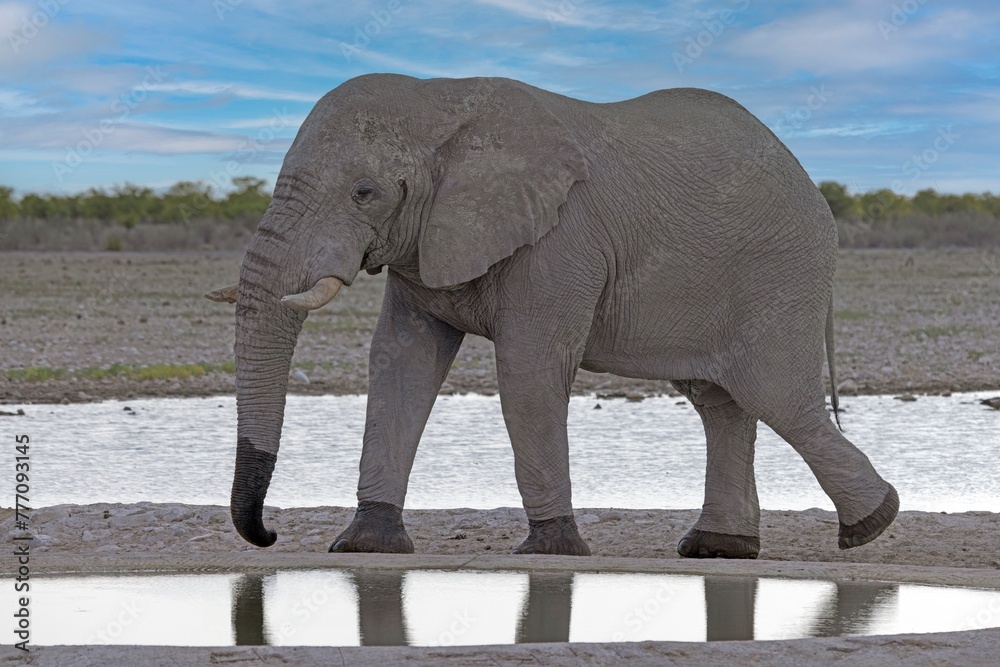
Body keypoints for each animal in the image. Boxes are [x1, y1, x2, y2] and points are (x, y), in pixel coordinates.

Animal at [207, 73, 898, 558]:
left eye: (364, 193)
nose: (268, 536)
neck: (442, 99)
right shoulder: (425, 242)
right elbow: (401, 363)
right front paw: (364, 546)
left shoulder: (562, 239)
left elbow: (528, 370)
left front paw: (550, 549)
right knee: (720, 403)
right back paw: (721, 549)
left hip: (780, 271)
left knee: (774, 394)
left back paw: (872, 524)